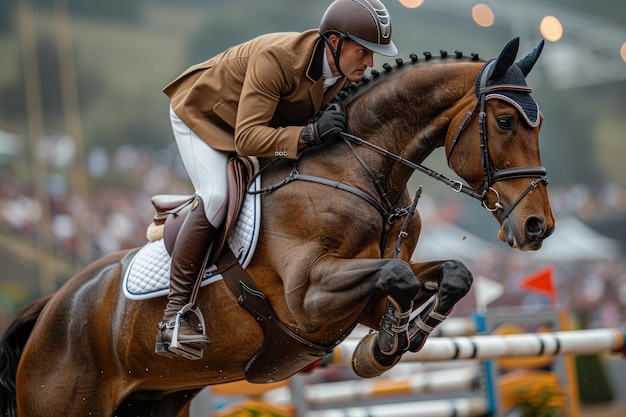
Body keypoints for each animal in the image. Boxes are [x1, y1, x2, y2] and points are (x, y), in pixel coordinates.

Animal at [3, 37, 552, 414]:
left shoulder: (362, 299)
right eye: (505, 122)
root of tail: (51, 307)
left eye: (539, 124)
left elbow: (451, 274)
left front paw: (392, 342)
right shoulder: (308, 298)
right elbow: (396, 276)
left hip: (156, 398)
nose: (537, 227)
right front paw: (383, 348)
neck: (363, 174)